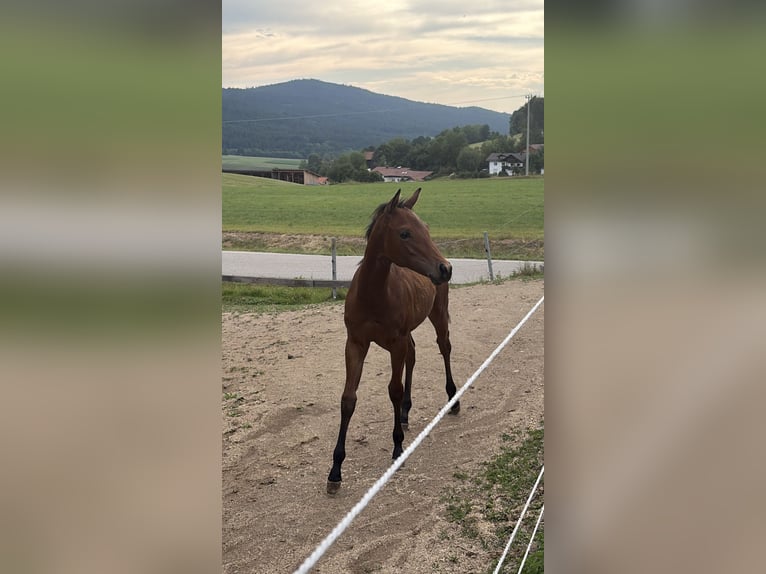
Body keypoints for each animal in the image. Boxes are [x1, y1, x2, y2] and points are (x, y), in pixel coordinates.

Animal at [326, 187, 459, 494]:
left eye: (426, 228)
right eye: (405, 233)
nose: (445, 269)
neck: (374, 295)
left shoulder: (394, 343)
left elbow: (394, 390)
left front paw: (398, 448)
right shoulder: (355, 344)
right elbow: (348, 399)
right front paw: (336, 468)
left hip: (438, 314)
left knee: (444, 347)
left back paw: (452, 398)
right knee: (413, 354)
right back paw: (406, 413)